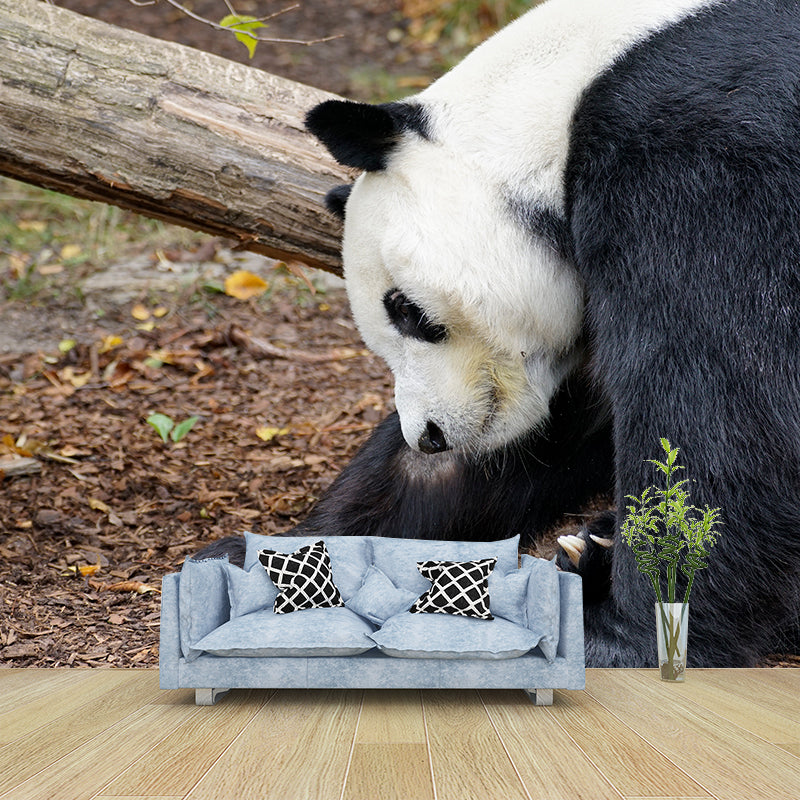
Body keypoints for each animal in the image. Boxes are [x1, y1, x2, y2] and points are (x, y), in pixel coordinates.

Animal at [205, 0, 800, 667]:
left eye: (405, 309)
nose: (431, 436)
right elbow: (556, 431)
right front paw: (278, 555)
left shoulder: (702, 151)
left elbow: (722, 400)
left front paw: (625, 632)